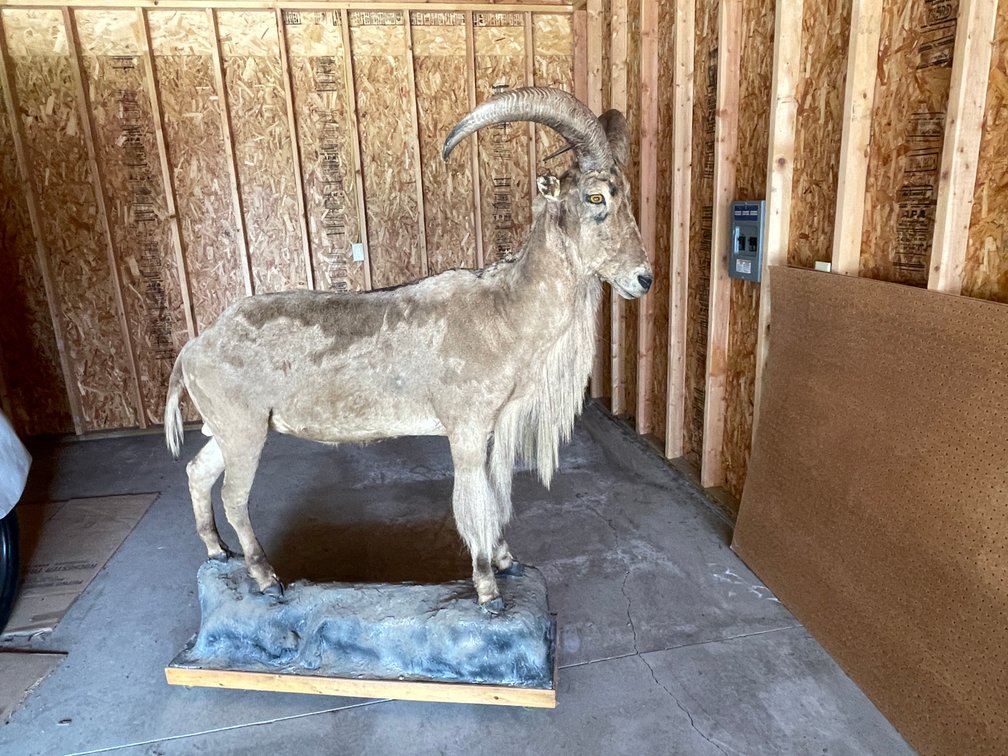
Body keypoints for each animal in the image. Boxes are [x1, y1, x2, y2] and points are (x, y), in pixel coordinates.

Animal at [164, 87, 652, 613]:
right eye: (595, 196)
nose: (643, 278)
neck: (504, 310)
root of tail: (192, 348)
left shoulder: (490, 428)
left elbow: (493, 495)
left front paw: (507, 561)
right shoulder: (466, 428)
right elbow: (474, 501)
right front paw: (488, 590)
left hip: (225, 430)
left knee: (197, 472)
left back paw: (218, 551)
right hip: (245, 430)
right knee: (234, 496)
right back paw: (265, 577)